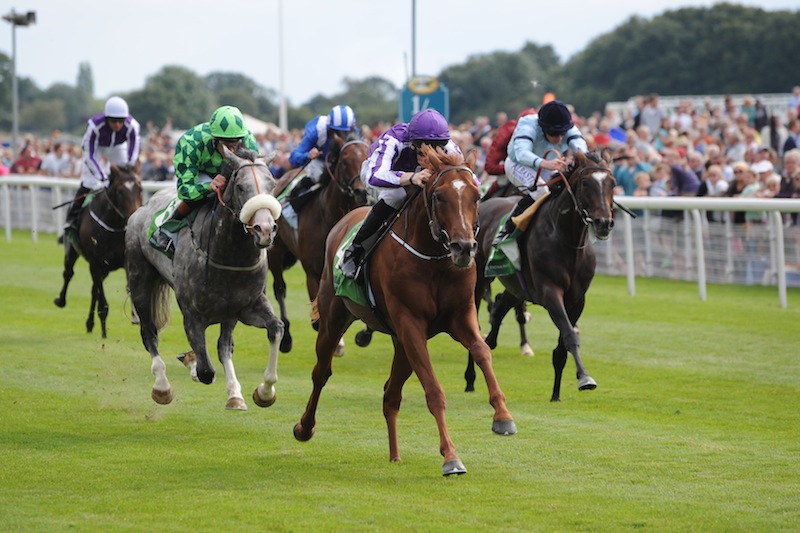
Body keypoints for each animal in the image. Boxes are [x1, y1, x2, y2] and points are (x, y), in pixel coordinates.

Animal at [54, 164, 144, 336]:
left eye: (140, 188)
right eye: (120, 191)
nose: (133, 217)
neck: (113, 226)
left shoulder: (125, 260)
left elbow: (129, 286)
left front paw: (136, 315)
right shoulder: (96, 262)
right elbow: (102, 302)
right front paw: (103, 330)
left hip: (105, 269)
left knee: (92, 289)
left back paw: (90, 324)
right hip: (73, 251)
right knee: (68, 273)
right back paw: (61, 300)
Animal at [125, 148, 284, 410]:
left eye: (273, 184)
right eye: (240, 186)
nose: (265, 230)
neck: (229, 256)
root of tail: (142, 207)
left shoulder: (244, 308)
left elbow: (275, 329)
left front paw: (263, 392)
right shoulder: (192, 315)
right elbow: (206, 371)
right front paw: (191, 363)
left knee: (223, 346)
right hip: (139, 279)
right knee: (149, 333)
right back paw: (162, 386)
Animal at [268, 133, 370, 352]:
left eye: (367, 157)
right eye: (345, 161)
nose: (362, 192)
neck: (330, 217)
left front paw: (364, 334)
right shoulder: (314, 273)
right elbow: (320, 319)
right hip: (275, 252)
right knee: (280, 289)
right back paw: (286, 338)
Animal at [296, 144, 520, 474]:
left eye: (476, 196)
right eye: (439, 196)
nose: (464, 248)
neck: (433, 258)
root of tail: (345, 219)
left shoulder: (460, 317)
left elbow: (482, 351)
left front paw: (503, 416)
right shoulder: (411, 324)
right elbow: (434, 391)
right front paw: (451, 457)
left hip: (400, 343)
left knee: (390, 394)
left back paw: (395, 454)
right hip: (334, 317)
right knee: (321, 372)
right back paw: (304, 427)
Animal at [466, 150, 616, 400]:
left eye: (612, 183)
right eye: (586, 183)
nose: (604, 223)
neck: (567, 240)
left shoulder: (577, 299)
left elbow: (563, 344)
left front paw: (556, 393)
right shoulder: (550, 291)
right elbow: (569, 335)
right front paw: (585, 378)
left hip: (517, 287)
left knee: (500, 307)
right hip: (478, 281)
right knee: (475, 324)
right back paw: (470, 379)